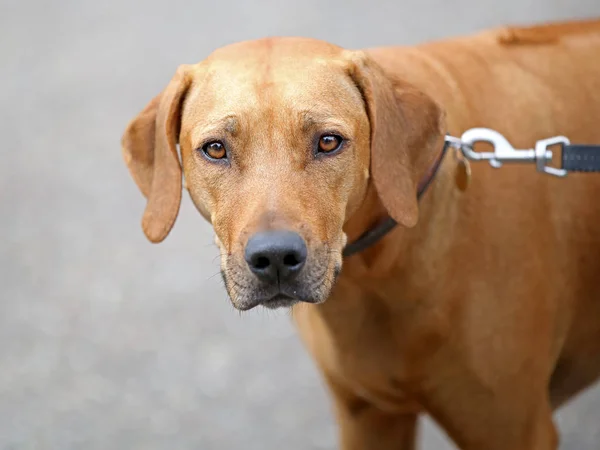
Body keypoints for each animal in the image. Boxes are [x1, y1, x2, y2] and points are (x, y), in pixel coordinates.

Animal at [119, 18, 600, 450]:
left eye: (328, 142)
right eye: (216, 149)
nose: (274, 258)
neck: (376, 273)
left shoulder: (512, 429)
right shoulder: (366, 417)